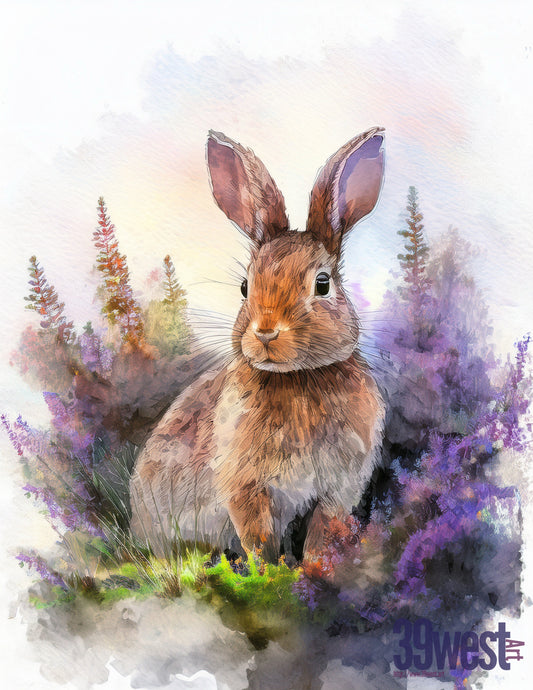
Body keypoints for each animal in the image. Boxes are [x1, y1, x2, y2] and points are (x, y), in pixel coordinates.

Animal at [129, 126, 385, 563]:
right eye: (245, 286)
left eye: (322, 284)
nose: (265, 332)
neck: (298, 378)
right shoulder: (245, 487)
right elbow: (259, 540)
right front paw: (271, 570)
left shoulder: (338, 490)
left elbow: (322, 534)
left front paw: (315, 569)